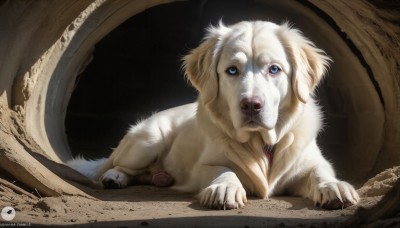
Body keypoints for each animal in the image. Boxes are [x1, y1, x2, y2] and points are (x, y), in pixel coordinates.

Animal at [67, 20, 360, 209]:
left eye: (274, 69)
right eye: (232, 70)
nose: (251, 105)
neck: (260, 143)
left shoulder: (311, 162)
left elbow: (320, 172)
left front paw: (334, 187)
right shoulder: (202, 167)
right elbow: (224, 168)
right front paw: (225, 188)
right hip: (147, 140)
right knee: (114, 165)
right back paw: (114, 177)